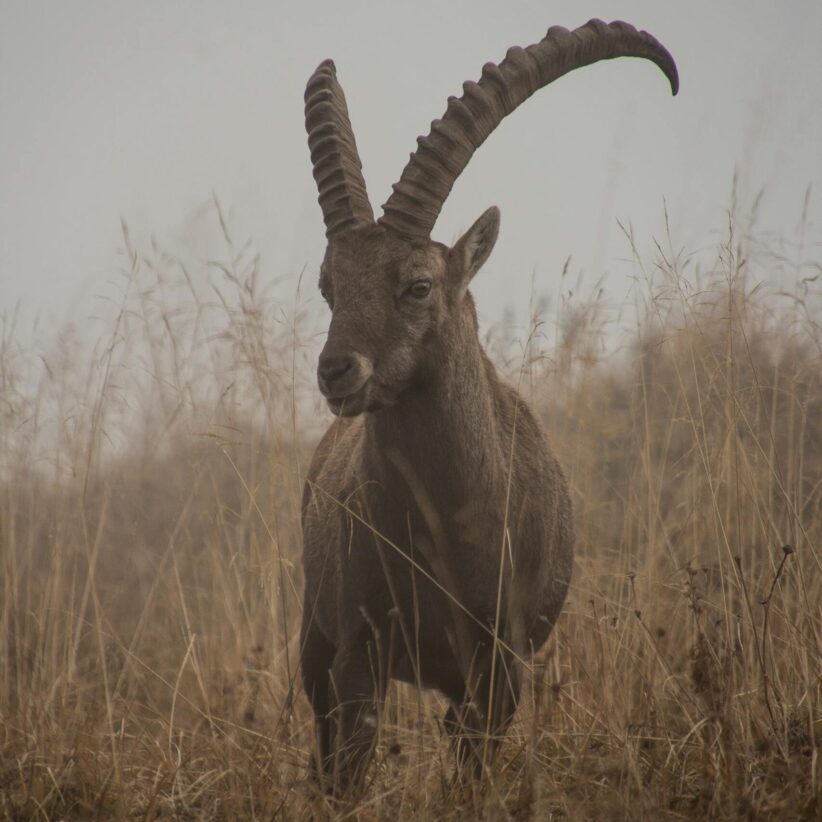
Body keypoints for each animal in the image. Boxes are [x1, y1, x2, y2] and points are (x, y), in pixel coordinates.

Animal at [300, 19, 678, 794]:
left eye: (417, 285)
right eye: (330, 285)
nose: (337, 371)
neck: (446, 520)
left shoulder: (502, 665)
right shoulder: (359, 649)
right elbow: (350, 770)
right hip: (312, 643)